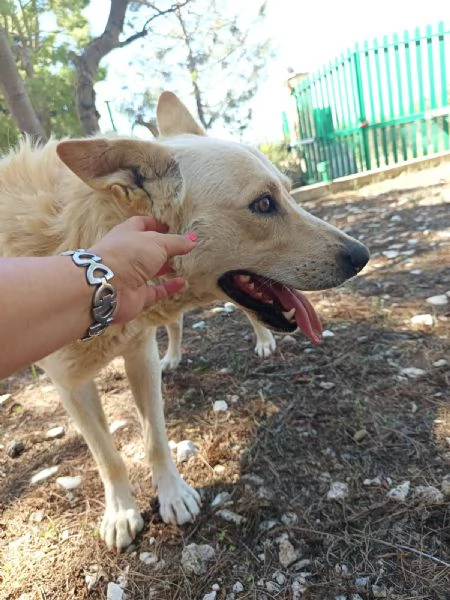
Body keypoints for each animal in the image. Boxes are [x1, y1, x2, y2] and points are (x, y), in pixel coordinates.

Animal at [0, 92, 370, 548]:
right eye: (264, 204)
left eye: (289, 192)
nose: (362, 256)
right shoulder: (71, 387)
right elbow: (108, 456)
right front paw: (121, 512)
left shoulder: (138, 353)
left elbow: (155, 439)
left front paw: (173, 495)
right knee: (174, 326)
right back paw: (174, 357)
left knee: (242, 317)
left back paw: (263, 341)